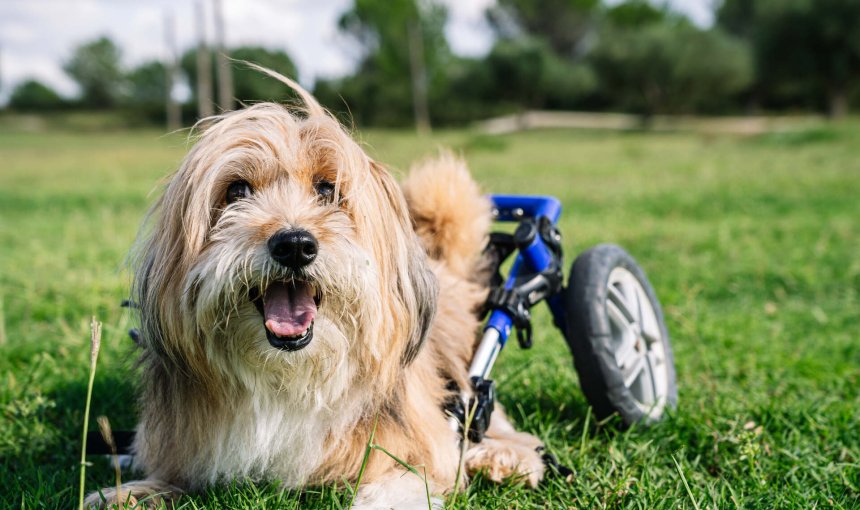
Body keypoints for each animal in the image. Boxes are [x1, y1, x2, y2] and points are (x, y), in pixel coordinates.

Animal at [87, 69, 544, 508]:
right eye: (237, 190)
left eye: (328, 189)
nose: (294, 244)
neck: (289, 377)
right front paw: (133, 490)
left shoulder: (416, 444)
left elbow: (405, 480)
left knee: (491, 417)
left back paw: (505, 455)